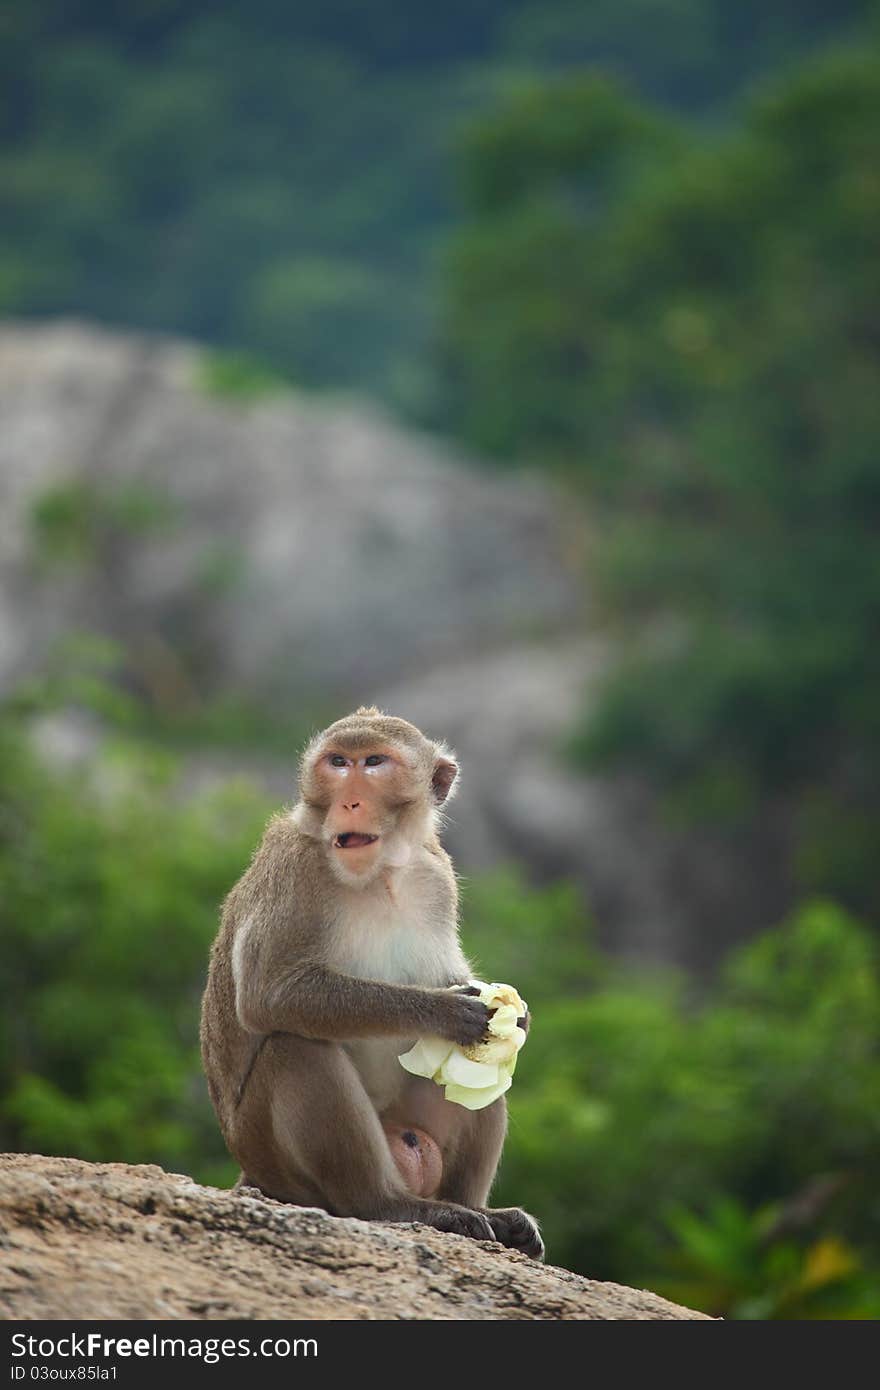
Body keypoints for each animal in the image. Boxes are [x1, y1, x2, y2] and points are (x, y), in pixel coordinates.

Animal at [198, 706, 542, 1262]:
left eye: (374, 763)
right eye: (338, 763)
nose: (351, 800)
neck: (379, 872)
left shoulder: (436, 874)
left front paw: (514, 1015)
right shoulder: (293, 869)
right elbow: (271, 993)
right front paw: (447, 1012)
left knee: (479, 1078)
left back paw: (477, 1210)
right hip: (274, 1158)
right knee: (295, 1045)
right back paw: (387, 1205)